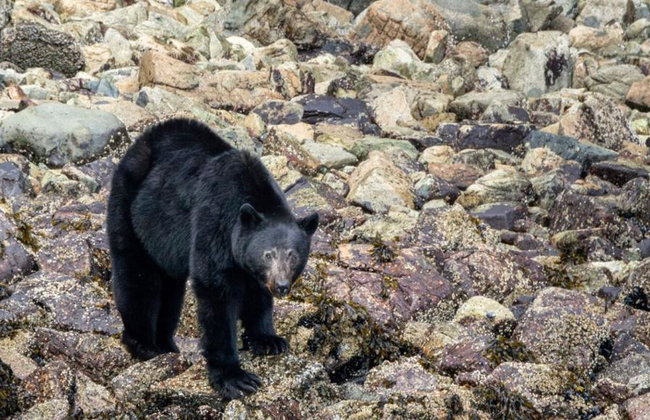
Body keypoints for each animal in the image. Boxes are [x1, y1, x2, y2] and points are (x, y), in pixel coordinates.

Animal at [106, 118, 318, 399]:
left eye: (293, 256)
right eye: (268, 254)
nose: (282, 286)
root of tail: (143, 140)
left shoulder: (250, 266)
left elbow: (258, 296)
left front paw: (269, 340)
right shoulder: (214, 224)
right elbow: (217, 295)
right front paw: (234, 378)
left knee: (171, 290)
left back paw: (166, 343)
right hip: (131, 210)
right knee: (137, 276)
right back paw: (144, 344)